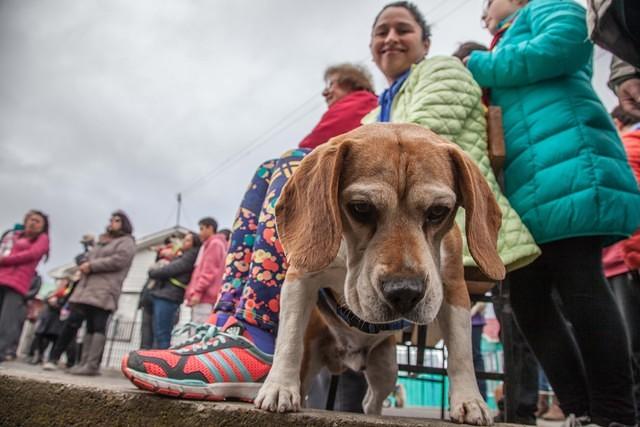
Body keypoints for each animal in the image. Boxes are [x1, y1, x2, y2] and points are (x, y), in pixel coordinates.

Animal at [254, 123, 504, 424]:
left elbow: (461, 352)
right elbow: (289, 339)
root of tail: (346, 358)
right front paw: (278, 387)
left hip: (386, 369)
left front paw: (469, 400)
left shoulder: (454, 288)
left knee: (371, 400)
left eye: (437, 211)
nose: (405, 292)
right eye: (361, 208)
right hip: (312, 360)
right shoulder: (301, 276)